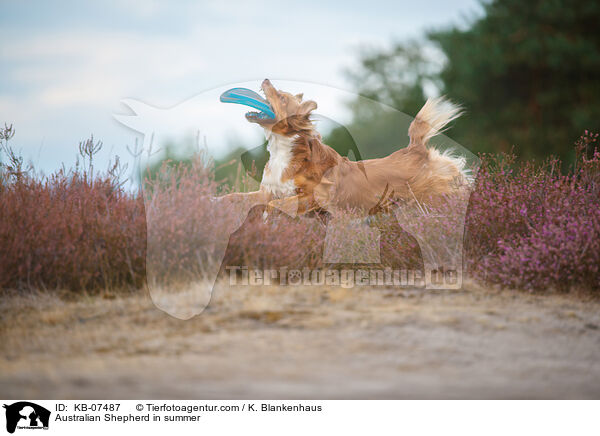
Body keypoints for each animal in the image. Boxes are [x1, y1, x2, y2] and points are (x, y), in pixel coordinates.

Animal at [220, 79, 468, 218]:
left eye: (281, 97)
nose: (265, 79)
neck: (283, 150)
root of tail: (416, 149)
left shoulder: (316, 196)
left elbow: (276, 204)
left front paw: (265, 216)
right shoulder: (268, 190)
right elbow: (236, 197)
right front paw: (214, 202)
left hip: (436, 195)